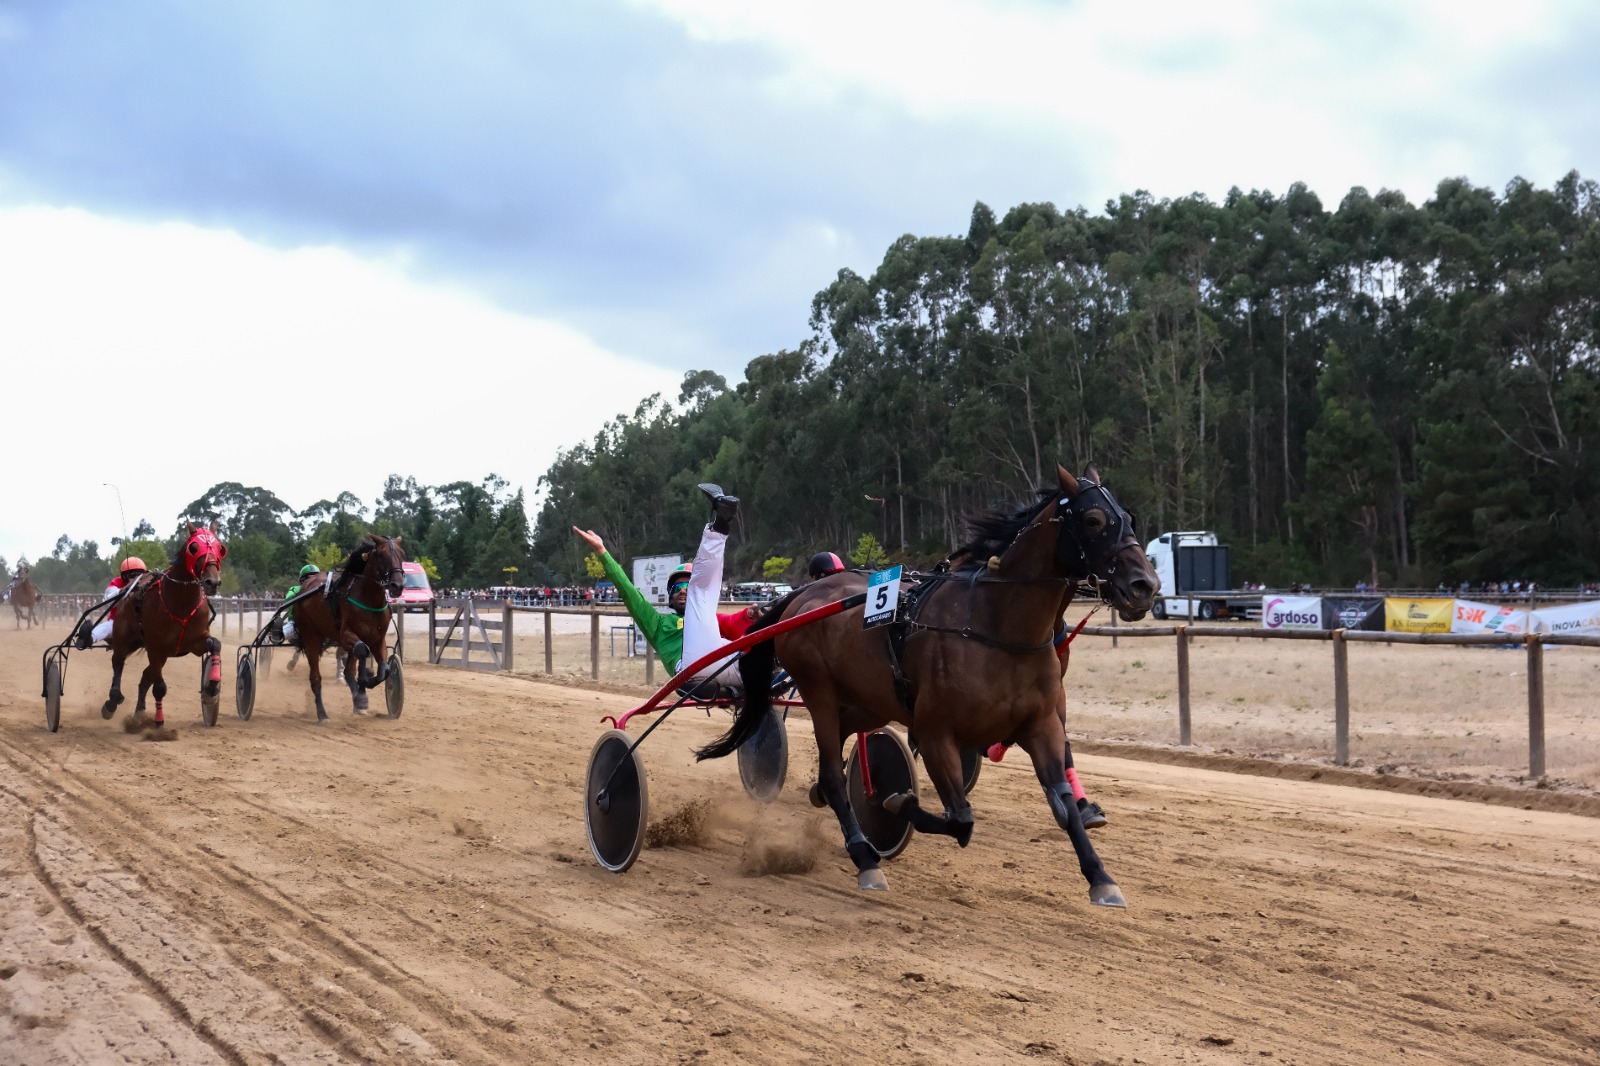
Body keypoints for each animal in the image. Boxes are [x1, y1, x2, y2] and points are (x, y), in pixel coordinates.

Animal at [103, 523, 226, 728]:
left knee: (145, 678)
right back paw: (112, 702)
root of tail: (128, 590)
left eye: (220, 548)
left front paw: (211, 688)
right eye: (193, 548)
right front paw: (159, 721)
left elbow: (215, 644)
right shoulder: (156, 647)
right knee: (118, 663)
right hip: (124, 637)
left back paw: (139, 714)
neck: (180, 602)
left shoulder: (194, 642)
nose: (212, 582)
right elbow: (159, 687)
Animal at [287, 534, 403, 721]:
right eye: (380, 555)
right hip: (311, 636)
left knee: (349, 667)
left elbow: (384, 670)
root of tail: (304, 589)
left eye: (402, 553)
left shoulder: (378, 639)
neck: (369, 600)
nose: (397, 585)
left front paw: (366, 687)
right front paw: (362, 694)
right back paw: (322, 714)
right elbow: (363, 652)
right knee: (315, 678)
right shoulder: (347, 635)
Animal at [700, 465, 1158, 903]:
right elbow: (960, 819)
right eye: (1094, 520)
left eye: (1128, 517)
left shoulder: (1042, 723)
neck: (997, 626)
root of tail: (801, 596)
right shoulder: (936, 731)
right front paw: (896, 799)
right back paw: (864, 856)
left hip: (869, 700)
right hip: (820, 692)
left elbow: (1063, 805)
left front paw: (1101, 876)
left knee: (843, 751)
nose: (1145, 585)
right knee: (832, 771)